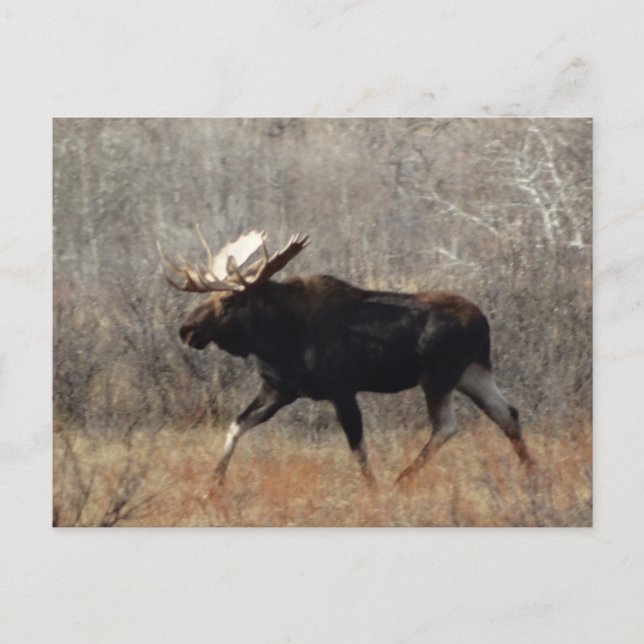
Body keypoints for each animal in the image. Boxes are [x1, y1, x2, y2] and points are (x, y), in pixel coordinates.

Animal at [157, 228, 530, 490]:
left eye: (227, 302)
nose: (187, 330)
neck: (276, 337)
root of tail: (484, 322)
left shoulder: (341, 390)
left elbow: (358, 448)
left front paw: (374, 490)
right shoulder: (280, 389)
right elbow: (236, 426)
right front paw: (213, 485)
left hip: (440, 377)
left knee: (447, 426)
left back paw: (402, 478)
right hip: (473, 372)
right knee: (507, 413)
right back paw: (533, 474)